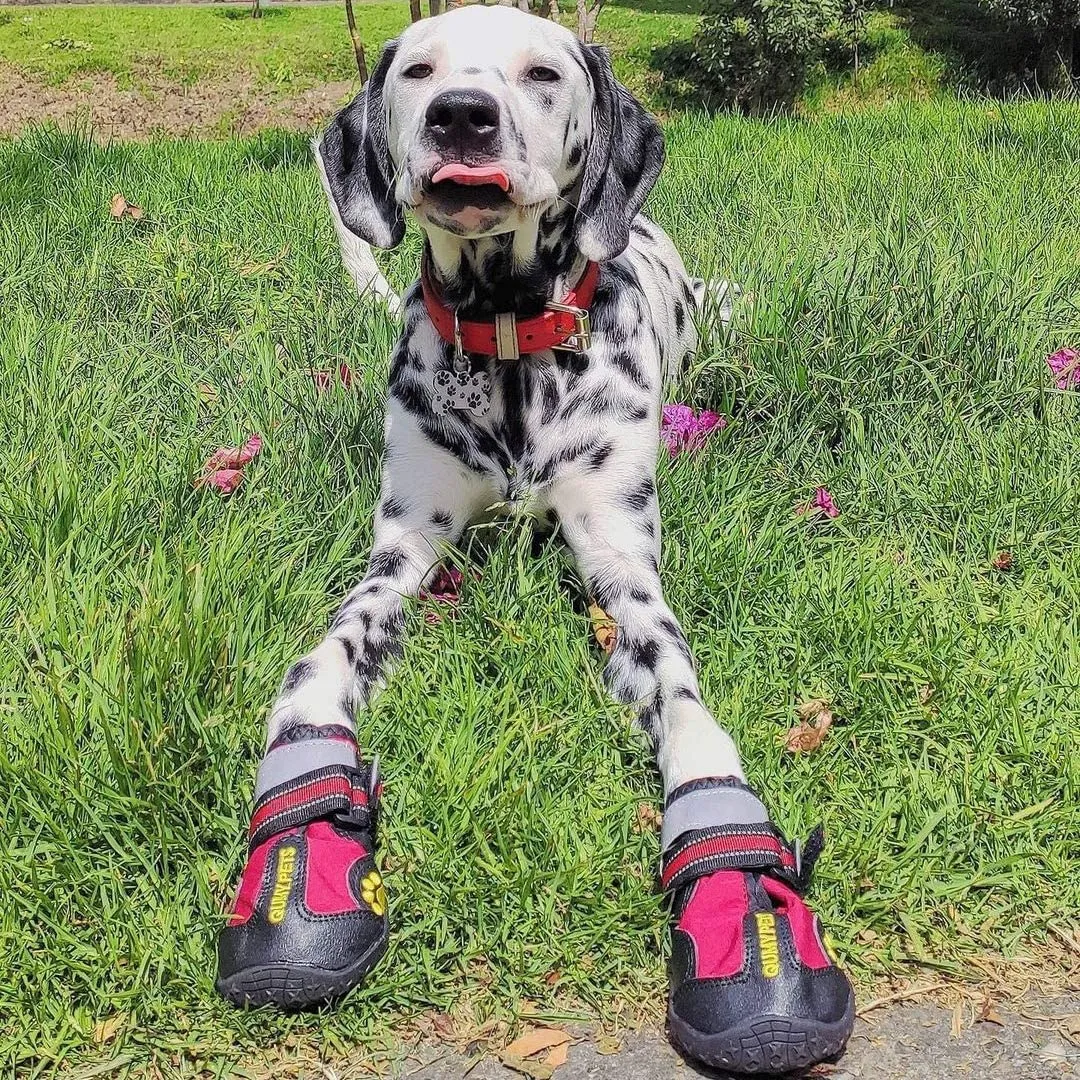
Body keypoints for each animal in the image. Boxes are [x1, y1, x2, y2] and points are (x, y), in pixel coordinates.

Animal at [214, 8, 855, 1071]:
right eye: (418, 69)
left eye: (544, 72)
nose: (461, 114)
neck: (509, 339)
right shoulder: (403, 551)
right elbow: (319, 668)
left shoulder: (621, 562)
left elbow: (688, 709)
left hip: (727, 308)